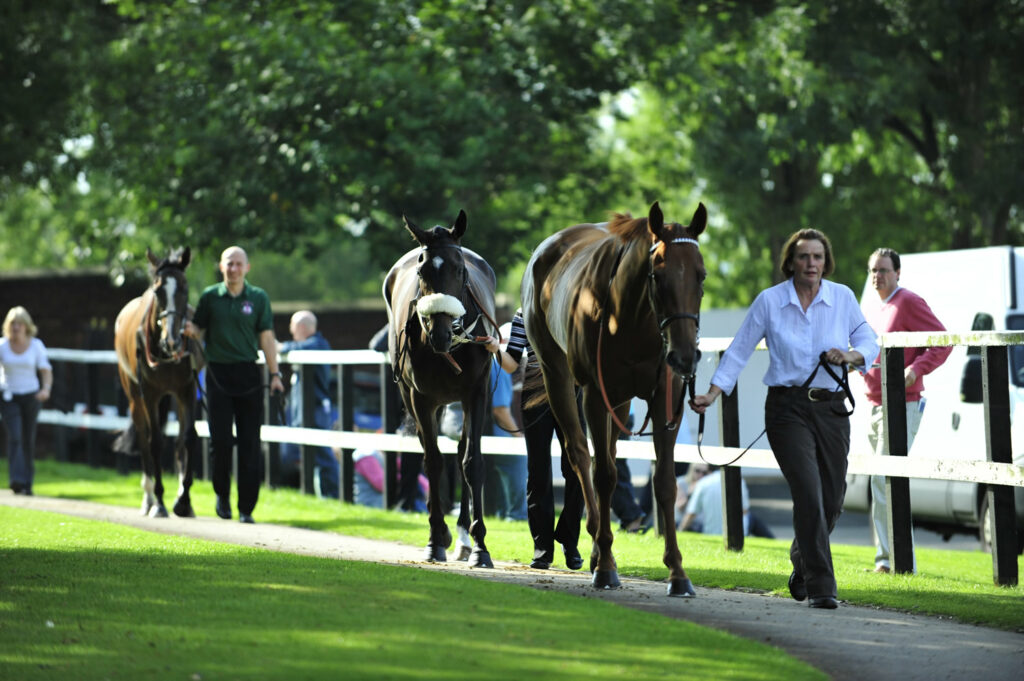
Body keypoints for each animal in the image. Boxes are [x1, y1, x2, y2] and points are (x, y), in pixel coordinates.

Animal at [114, 247, 202, 518]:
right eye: (157, 290)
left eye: (184, 287)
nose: (172, 340)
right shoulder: (150, 394)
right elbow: (155, 443)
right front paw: (161, 502)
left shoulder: (186, 390)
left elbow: (189, 438)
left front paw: (184, 501)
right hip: (135, 396)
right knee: (144, 438)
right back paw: (149, 498)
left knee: (179, 441)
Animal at [384, 209, 499, 567]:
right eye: (422, 270)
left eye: (460, 269)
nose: (440, 334)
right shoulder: (421, 398)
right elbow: (433, 461)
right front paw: (436, 538)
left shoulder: (477, 393)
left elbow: (472, 462)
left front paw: (480, 546)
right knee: (429, 450)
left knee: (461, 452)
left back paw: (463, 536)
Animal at [522, 201, 707, 596]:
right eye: (658, 275)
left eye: (701, 275)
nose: (685, 355)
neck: (632, 321)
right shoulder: (594, 393)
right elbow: (603, 473)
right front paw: (606, 566)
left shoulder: (664, 396)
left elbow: (664, 482)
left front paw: (677, 571)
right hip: (557, 373)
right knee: (579, 452)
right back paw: (594, 543)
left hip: (620, 399)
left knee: (607, 450)